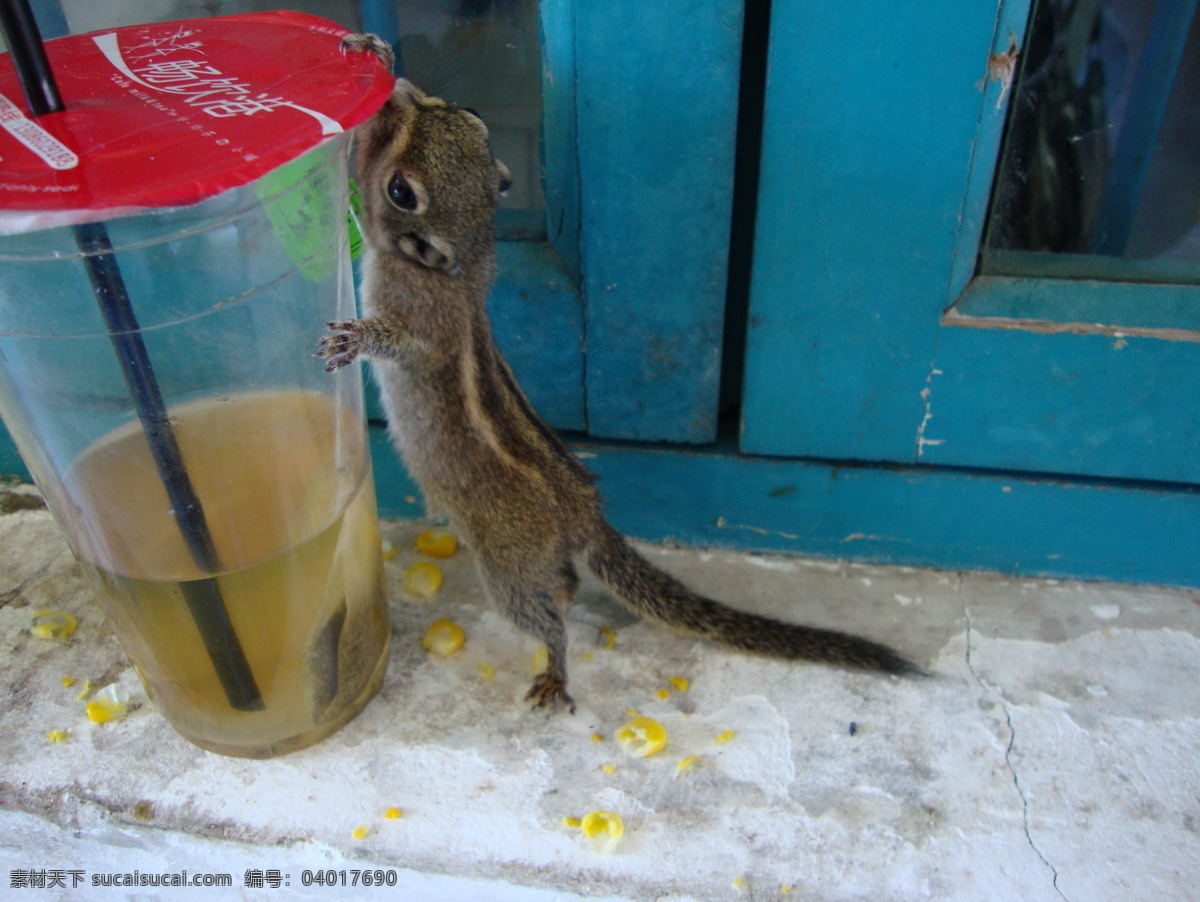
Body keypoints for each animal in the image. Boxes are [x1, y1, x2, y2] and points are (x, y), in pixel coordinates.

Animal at [319, 47, 916, 710]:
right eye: (467, 114)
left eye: (401, 190)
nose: (397, 91)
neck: (464, 265)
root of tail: (586, 512)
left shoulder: (422, 324)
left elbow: (397, 339)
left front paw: (354, 339)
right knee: (566, 587)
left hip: (508, 568)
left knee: (548, 616)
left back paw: (556, 669)